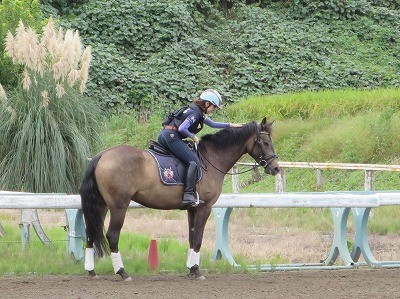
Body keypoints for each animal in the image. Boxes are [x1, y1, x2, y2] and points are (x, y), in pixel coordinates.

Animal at [79, 116, 280, 282]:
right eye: (265, 142)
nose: (276, 168)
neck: (211, 159)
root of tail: (101, 156)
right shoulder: (204, 208)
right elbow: (198, 239)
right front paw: (197, 270)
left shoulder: (192, 209)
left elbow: (191, 237)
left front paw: (190, 269)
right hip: (119, 206)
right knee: (112, 235)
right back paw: (122, 272)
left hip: (101, 206)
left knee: (90, 233)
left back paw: (91, 271)